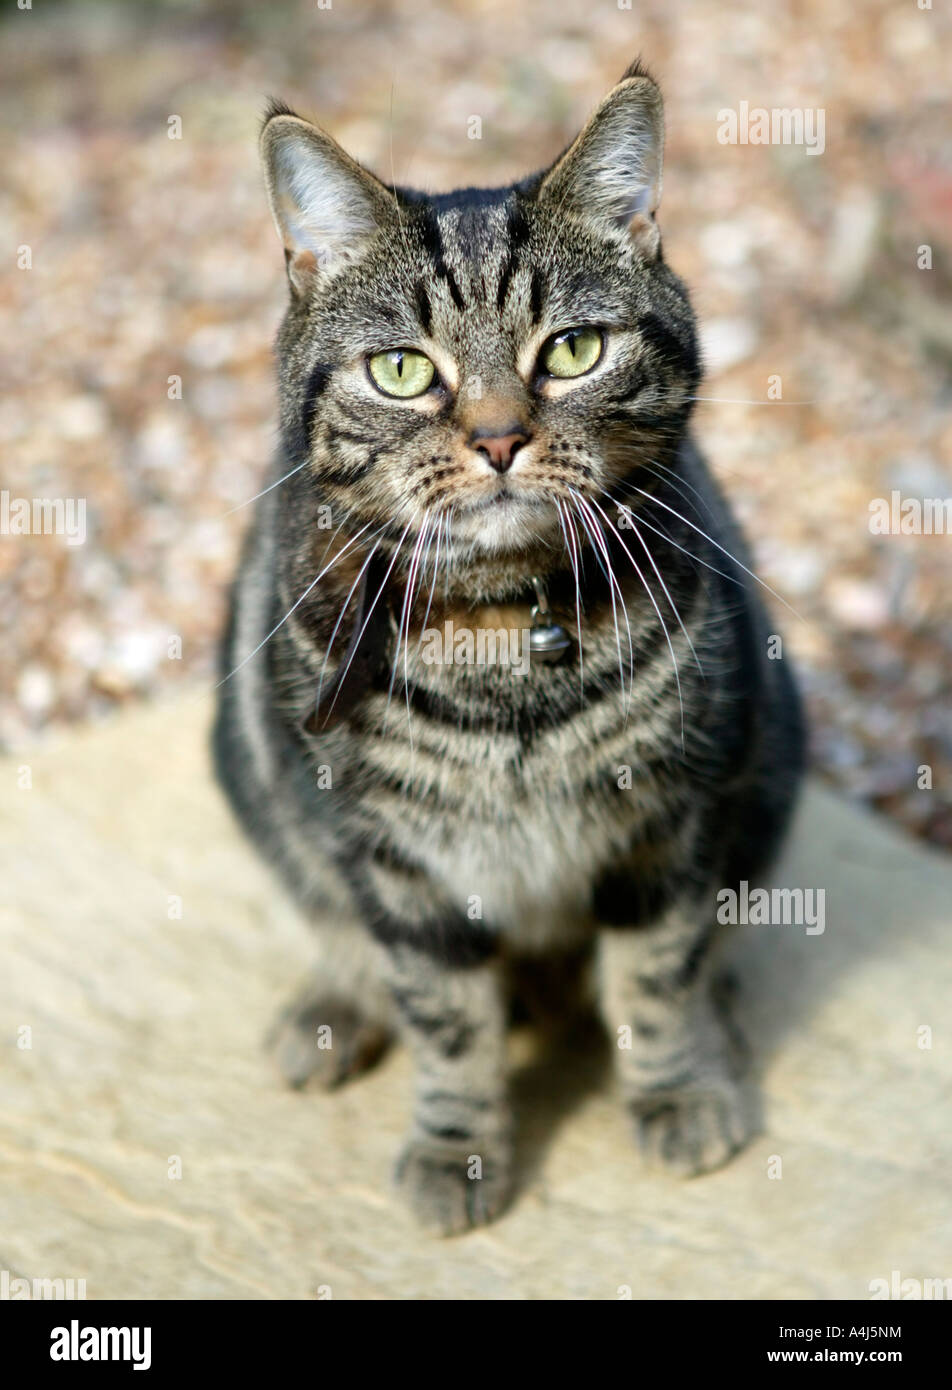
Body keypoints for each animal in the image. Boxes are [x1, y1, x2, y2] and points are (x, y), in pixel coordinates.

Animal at [214, 62, 800, 1239]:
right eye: (402, 370)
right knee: (334, 924)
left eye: (572, 350)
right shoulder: (394, 863)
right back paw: (330, 1008)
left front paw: (677, 1090)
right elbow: (447, 1018)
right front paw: (458, 1146)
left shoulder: (667, 822)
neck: (500, 643)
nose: (496, 437)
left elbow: (657, 973)